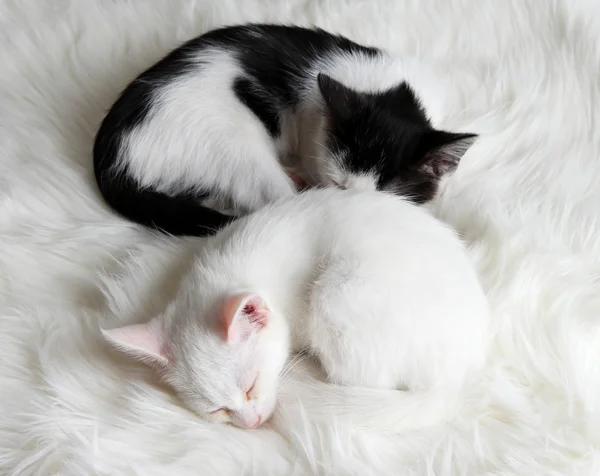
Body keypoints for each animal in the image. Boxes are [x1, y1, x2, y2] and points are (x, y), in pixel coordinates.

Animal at [102, 188, 488, 434]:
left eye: (251, 387)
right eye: (217, 410)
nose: (251, 423)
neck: (225, 265)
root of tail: (453, 377)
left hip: (337, 292)